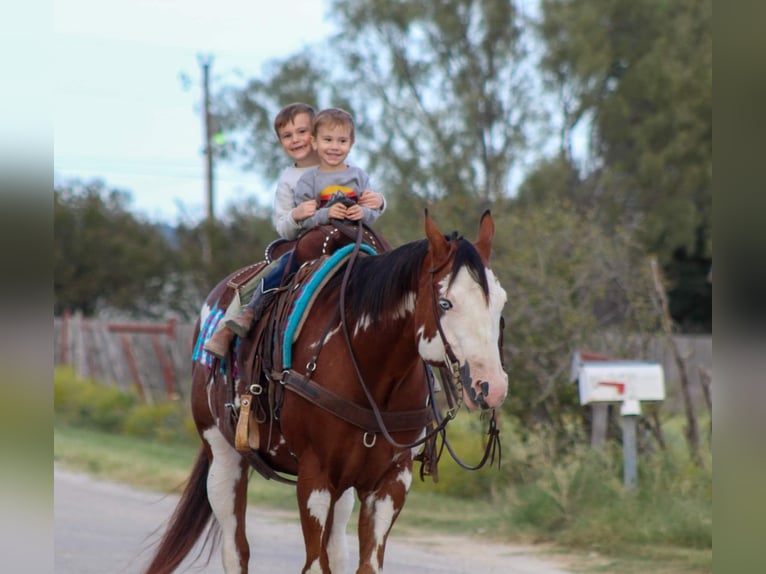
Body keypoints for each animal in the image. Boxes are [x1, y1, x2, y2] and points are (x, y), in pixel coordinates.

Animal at [143, 211, 508, 574]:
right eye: (446, 302)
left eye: (500, 302)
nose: (491, 386)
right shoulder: (314, 479)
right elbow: (315, 564)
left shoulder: (390, 483)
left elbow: (365, 564)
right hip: (222, 454)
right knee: (236, 550)